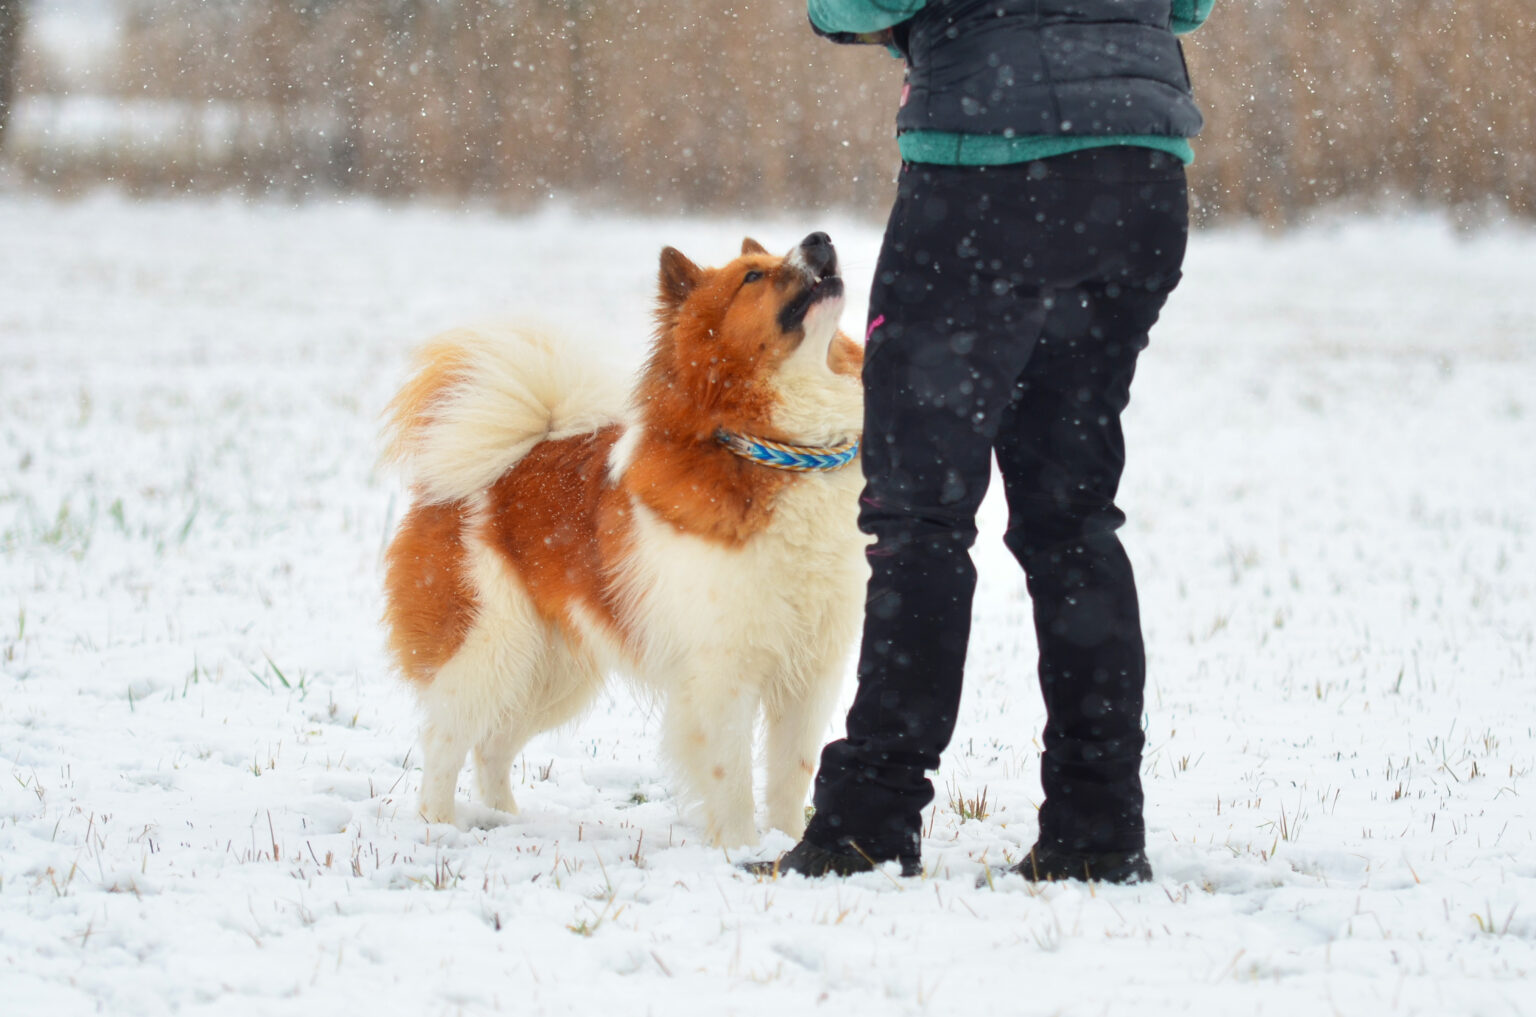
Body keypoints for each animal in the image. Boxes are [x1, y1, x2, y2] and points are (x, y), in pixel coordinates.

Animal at [379, 235, 872, 848]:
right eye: (753, 277)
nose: (819, 239)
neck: (776, 452)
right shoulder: (721, 672)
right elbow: (731, 778)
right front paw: (741, 852)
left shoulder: (810, 672)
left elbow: (789, 776)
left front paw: (785, 847)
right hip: (487, 651)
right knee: (444, 743)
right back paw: (439, 828)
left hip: (551, 672)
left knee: (492, 745)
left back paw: (504, 820)